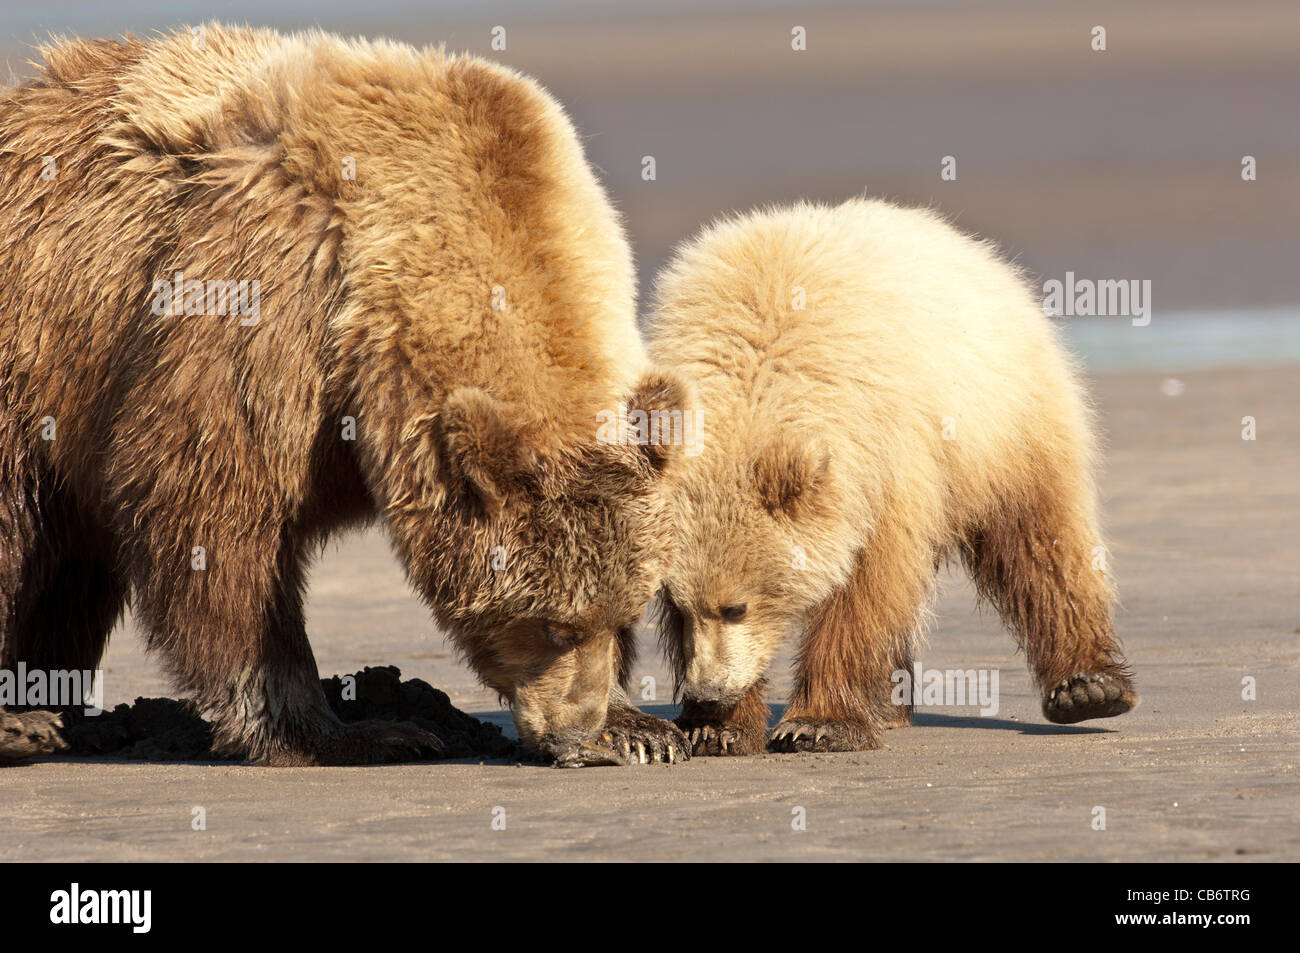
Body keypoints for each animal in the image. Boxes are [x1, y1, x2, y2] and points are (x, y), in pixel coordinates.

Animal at [0, 25, 690, 766]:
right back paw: (24, 724)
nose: (576, 736)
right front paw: (348, 729)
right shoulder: (262, 307)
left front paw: (639, 730)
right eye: (551, 624)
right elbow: (212, 507)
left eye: (625, 615)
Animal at [648, 198, 1138, 756]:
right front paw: (717, 727)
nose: (706, 691)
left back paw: (1088, 687)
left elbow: (868, 589)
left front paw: (817, 724)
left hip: (1006, 420)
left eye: (736, 607)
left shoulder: (886, 457)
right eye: (680, 608)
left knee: (1041, 541)